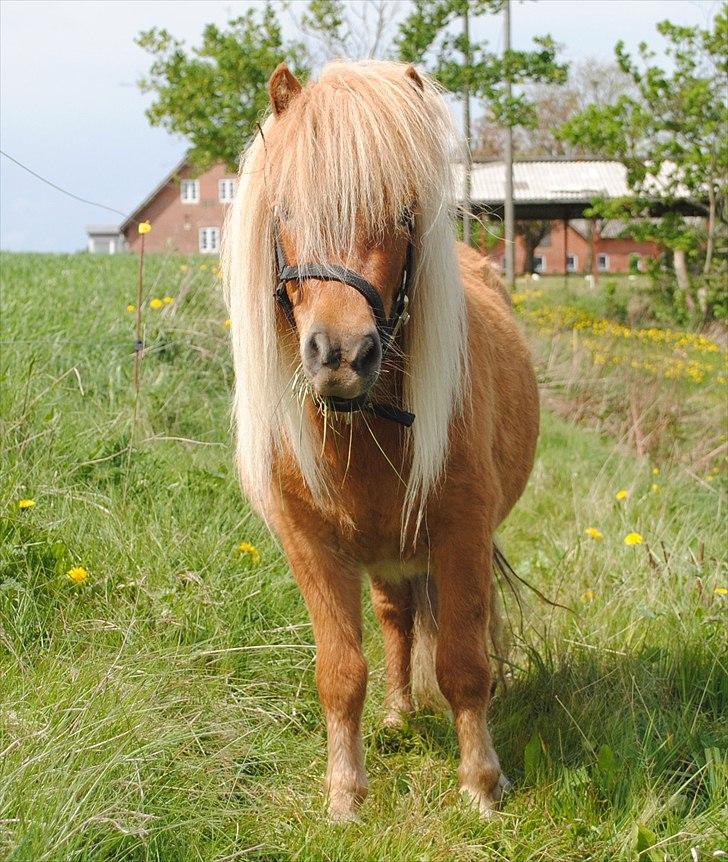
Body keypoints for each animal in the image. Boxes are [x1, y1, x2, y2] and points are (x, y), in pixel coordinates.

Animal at [223, 60, 540, 824]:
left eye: (401, 217)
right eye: (286, 212)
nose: (341, 355)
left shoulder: (460, 532)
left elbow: (463, 664)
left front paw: (482, 785)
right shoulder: (311, 545)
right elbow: (340, 673)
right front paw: (345, 795)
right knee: (396, 619)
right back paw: (397, 715)